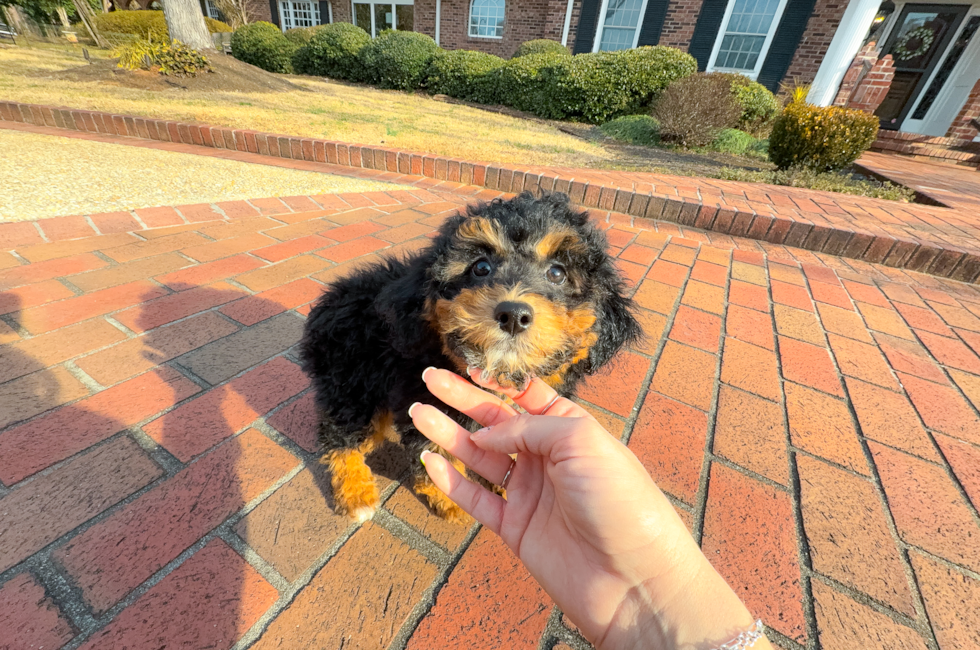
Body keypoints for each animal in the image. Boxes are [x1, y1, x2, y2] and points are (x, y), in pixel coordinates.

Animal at [302, 191, 648, 520]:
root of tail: (329, 299)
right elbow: (438, 455)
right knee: (340, 437)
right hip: (352, 382)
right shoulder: (427, 399)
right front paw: (449, 500)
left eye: (557, 273)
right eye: (481, 267)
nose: (513, 314)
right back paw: (356, 494)